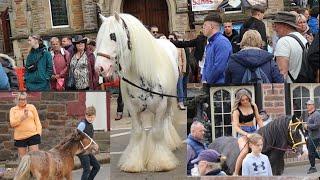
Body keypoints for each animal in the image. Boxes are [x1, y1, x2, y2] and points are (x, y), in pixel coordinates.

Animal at [94, 12, 182, 172]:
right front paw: (133, 162)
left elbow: (157, 132)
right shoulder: (133, 110)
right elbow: (138, 132)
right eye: (99, 37)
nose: (99, 68)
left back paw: (169, 143)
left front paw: (160, 162)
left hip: (170, 100)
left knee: (166, 121)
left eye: (113, 36)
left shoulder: (160, 106)